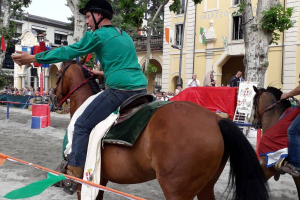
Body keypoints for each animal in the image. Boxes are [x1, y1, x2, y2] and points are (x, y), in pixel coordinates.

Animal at [52, 61, 268, 200]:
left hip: (177, 192)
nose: (53, 97)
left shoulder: (86, 182)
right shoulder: (99, 180)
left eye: (59, 76)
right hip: (206, 186)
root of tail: (216, 119)